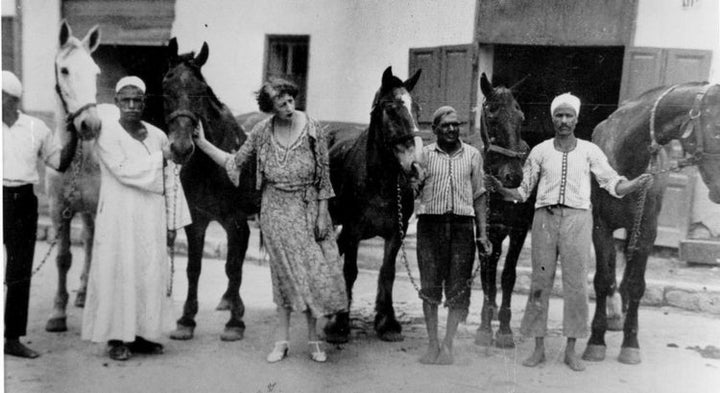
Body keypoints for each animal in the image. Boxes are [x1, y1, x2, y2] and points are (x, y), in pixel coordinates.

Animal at [162, 38, 260, 342]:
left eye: (201, 91)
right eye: (167, 88)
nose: (181, 148)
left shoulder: (234, 220)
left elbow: (233, 266)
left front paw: (235, 323)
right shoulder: (197, 221)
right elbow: (193, 268)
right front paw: (186, 320)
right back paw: (229, 299)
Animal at [322, 66, 422, 342]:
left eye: (416, 108)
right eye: (390, 109)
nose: (415, 166)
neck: (378, 181)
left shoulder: (396, 233)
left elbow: (388, 271)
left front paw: (387, 322)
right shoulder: (353, 230)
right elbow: (350, 271)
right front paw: (340, 324)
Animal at [584, 81, 720, 362]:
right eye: (718, 129)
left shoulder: (647, 230)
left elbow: (637, 285)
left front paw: (630, 343)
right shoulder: (601, 227)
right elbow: (602, 280)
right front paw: (596, 339)